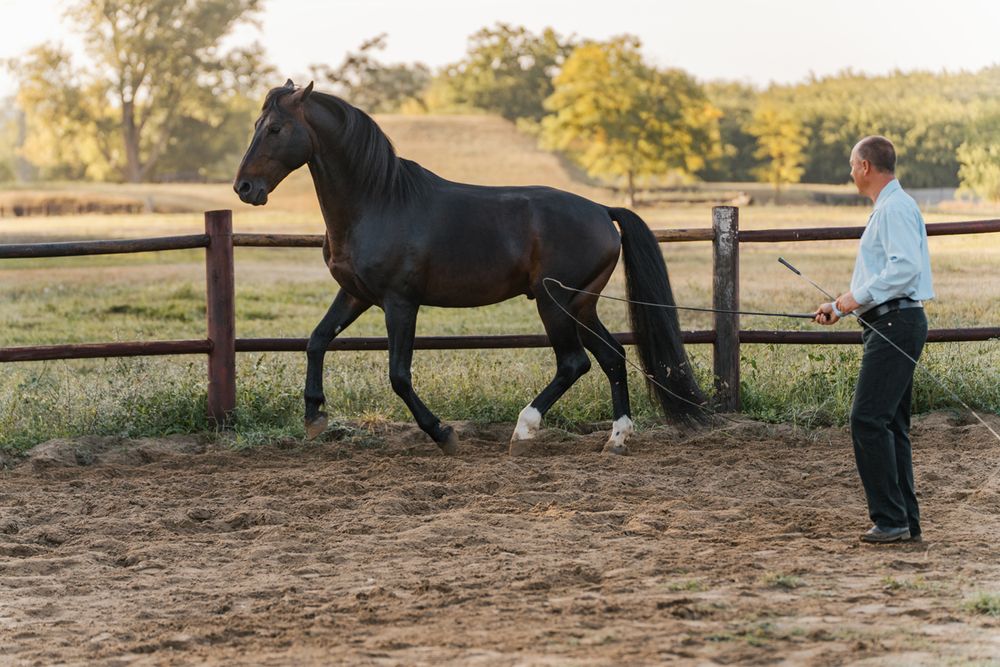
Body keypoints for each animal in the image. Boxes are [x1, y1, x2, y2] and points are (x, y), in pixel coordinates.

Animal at [234, 80, 705, 455]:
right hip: (581, 305)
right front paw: (314, 415)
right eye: (255, 125)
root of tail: (603, 211)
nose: (244, 188)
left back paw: (524, 431)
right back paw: (616, 439)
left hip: (555, 302)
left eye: (275, 129)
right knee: (611, 356)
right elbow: (316, 341)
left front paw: (443, 434)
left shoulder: (400, 302)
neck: (378, 201)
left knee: (574, 363)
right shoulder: (355, 295)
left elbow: (399, 376)